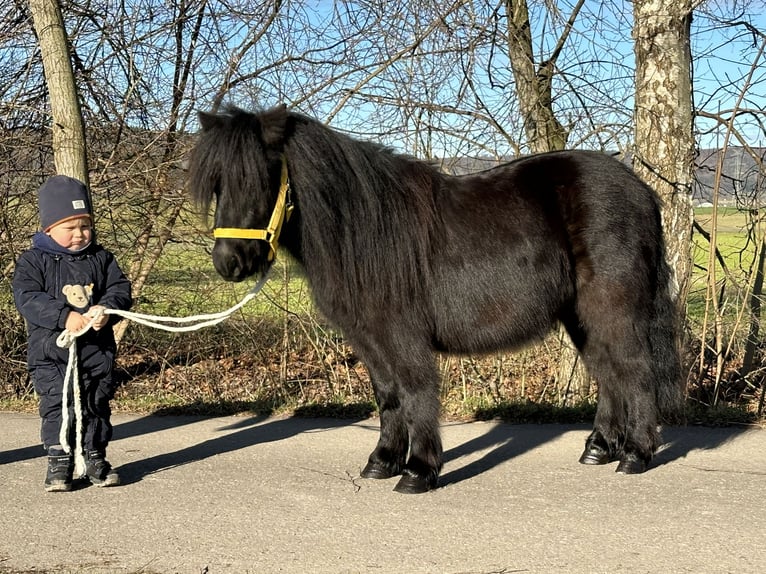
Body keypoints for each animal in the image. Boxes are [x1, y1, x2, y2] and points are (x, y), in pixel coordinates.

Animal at [189, 103, 680, 496]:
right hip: (582, 315)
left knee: (635, 370)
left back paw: (635, 455)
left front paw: (418, 471)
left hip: (614, 307)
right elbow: (388, 396)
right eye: (216, 184)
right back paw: (598, 448)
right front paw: (382, 462)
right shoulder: (369, 338)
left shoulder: (402, 335)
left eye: (261, 177)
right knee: (607, 371)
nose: (229, 262)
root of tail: (641, 189)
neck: (363, 229)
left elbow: (416, 391)